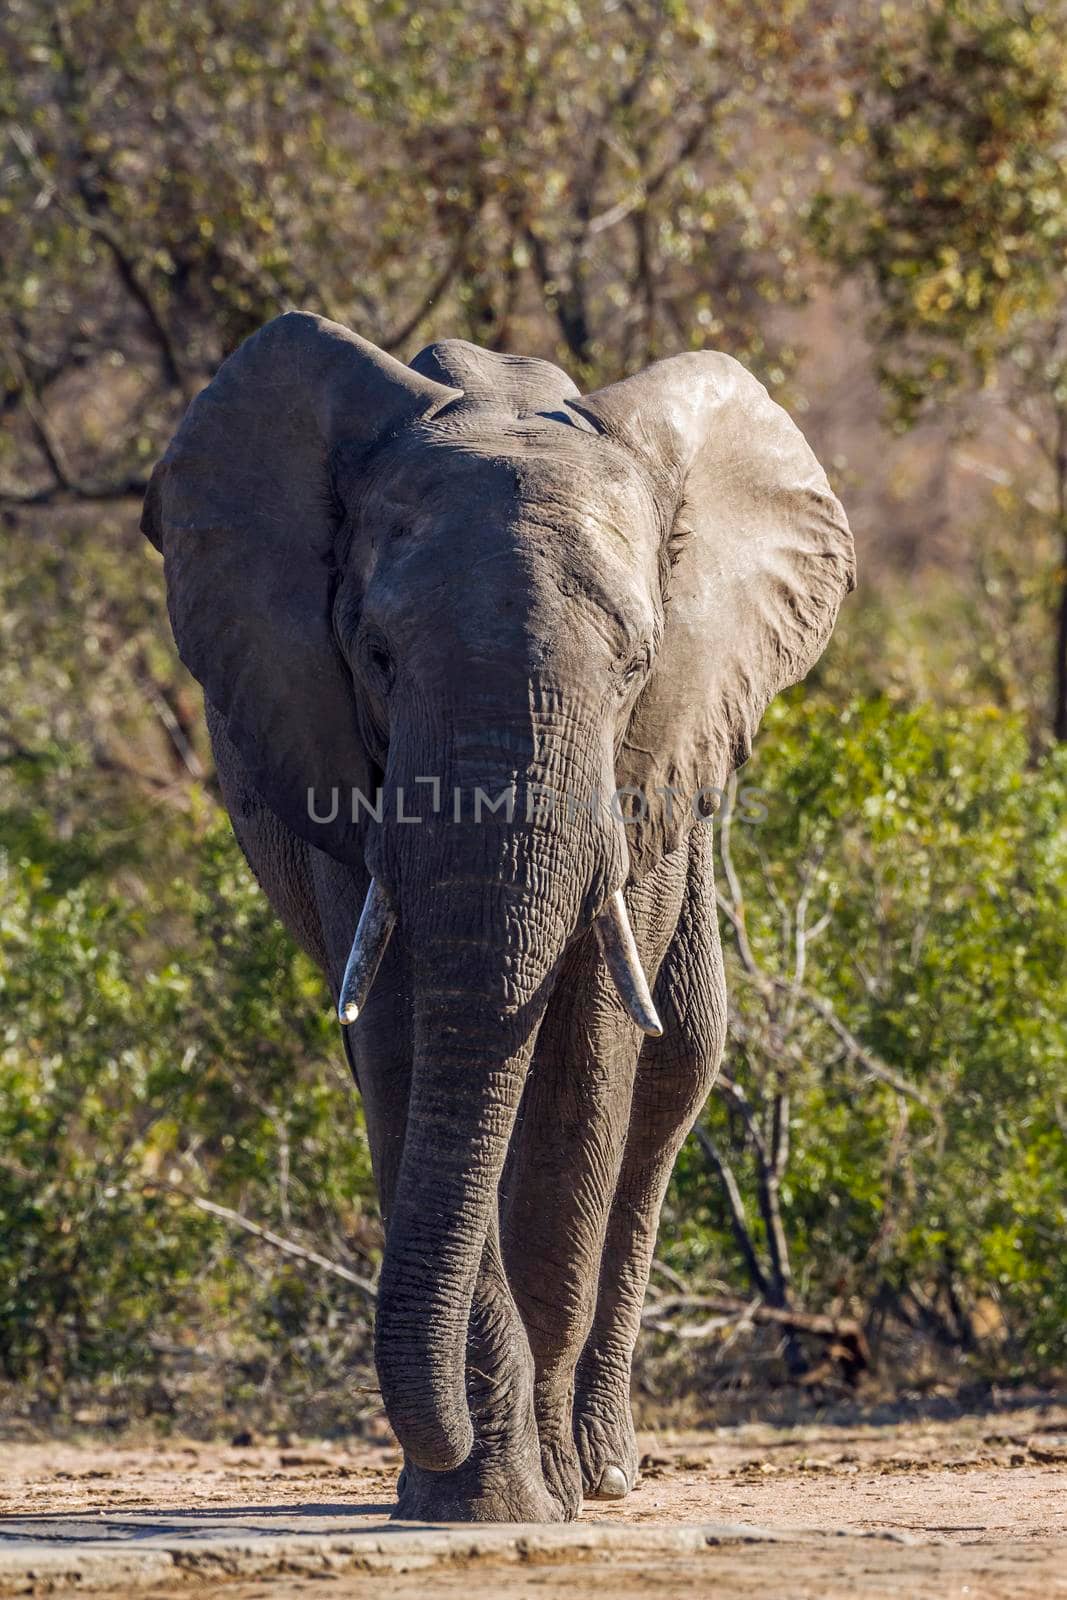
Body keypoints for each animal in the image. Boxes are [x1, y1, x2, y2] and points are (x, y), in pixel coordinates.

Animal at [143, 315, 857, 1523]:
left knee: (678, 1064)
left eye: (635, 665)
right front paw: (478, 1501)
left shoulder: (644, 772)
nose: (438, 1445)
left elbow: (587, 1061)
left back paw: (601, 1470)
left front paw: (543, 1490)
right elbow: (402, 1050)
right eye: (376, 657)